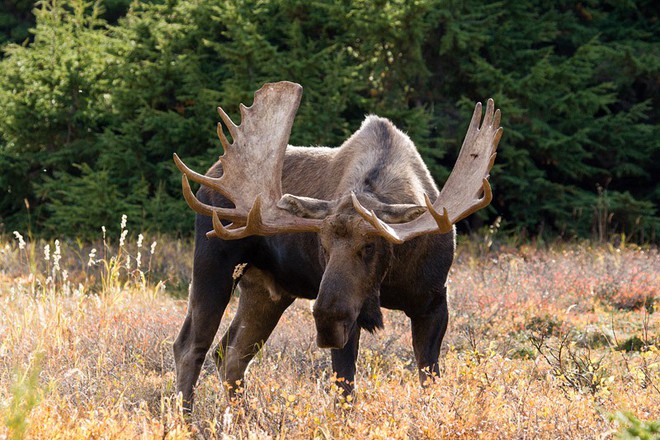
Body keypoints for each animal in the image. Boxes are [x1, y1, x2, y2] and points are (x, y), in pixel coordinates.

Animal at [173, 81, 502, 410]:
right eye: (323, 246)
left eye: (370, 246)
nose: (327, 319)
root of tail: (209, 179)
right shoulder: (352, 316)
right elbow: (345, 391)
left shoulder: (433, 301)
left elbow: (428, 379)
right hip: (214, 262)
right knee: (190, 345)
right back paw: (186, 416)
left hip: (266, 291)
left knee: (230, 352)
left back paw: (241, 415)